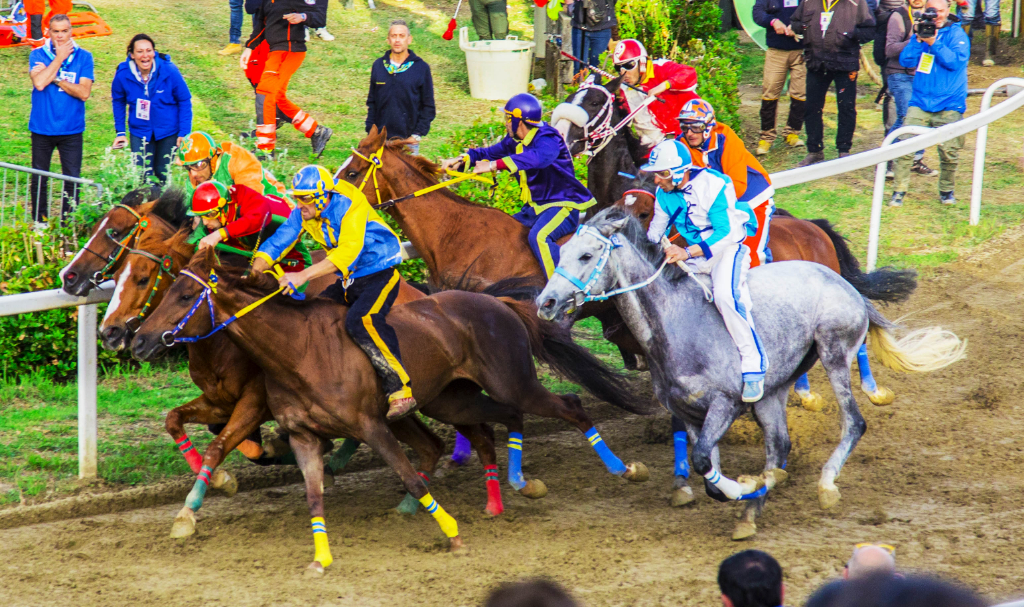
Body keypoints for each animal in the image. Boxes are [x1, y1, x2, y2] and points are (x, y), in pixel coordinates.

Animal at [130, 247, 647, 573]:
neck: (296, 350)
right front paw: (320, 558)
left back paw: (624, 470)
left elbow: (411, 477)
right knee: (492, 426)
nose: (136, 340)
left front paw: (452, 534)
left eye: (182, 296)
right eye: (164, 290)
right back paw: (504, 495)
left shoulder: (371, 425)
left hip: (513, 382)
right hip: (450, 397)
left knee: (569, 406)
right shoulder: (303, 434)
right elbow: (313, 495)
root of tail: (495, 301)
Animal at [536, 205, 966, 536]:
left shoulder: (725, 404)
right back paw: (755, 505)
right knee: (780, 445)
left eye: (586, 256)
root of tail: (845, 285)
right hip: (774, 390)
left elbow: (704, 462)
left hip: (833, 351)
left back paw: (825, 483)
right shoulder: (689, 413)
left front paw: (745, 486)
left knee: (853, 423)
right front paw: (742, 491)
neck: (675, 323)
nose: (545, 302)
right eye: (562, 251)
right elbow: (706, 470)